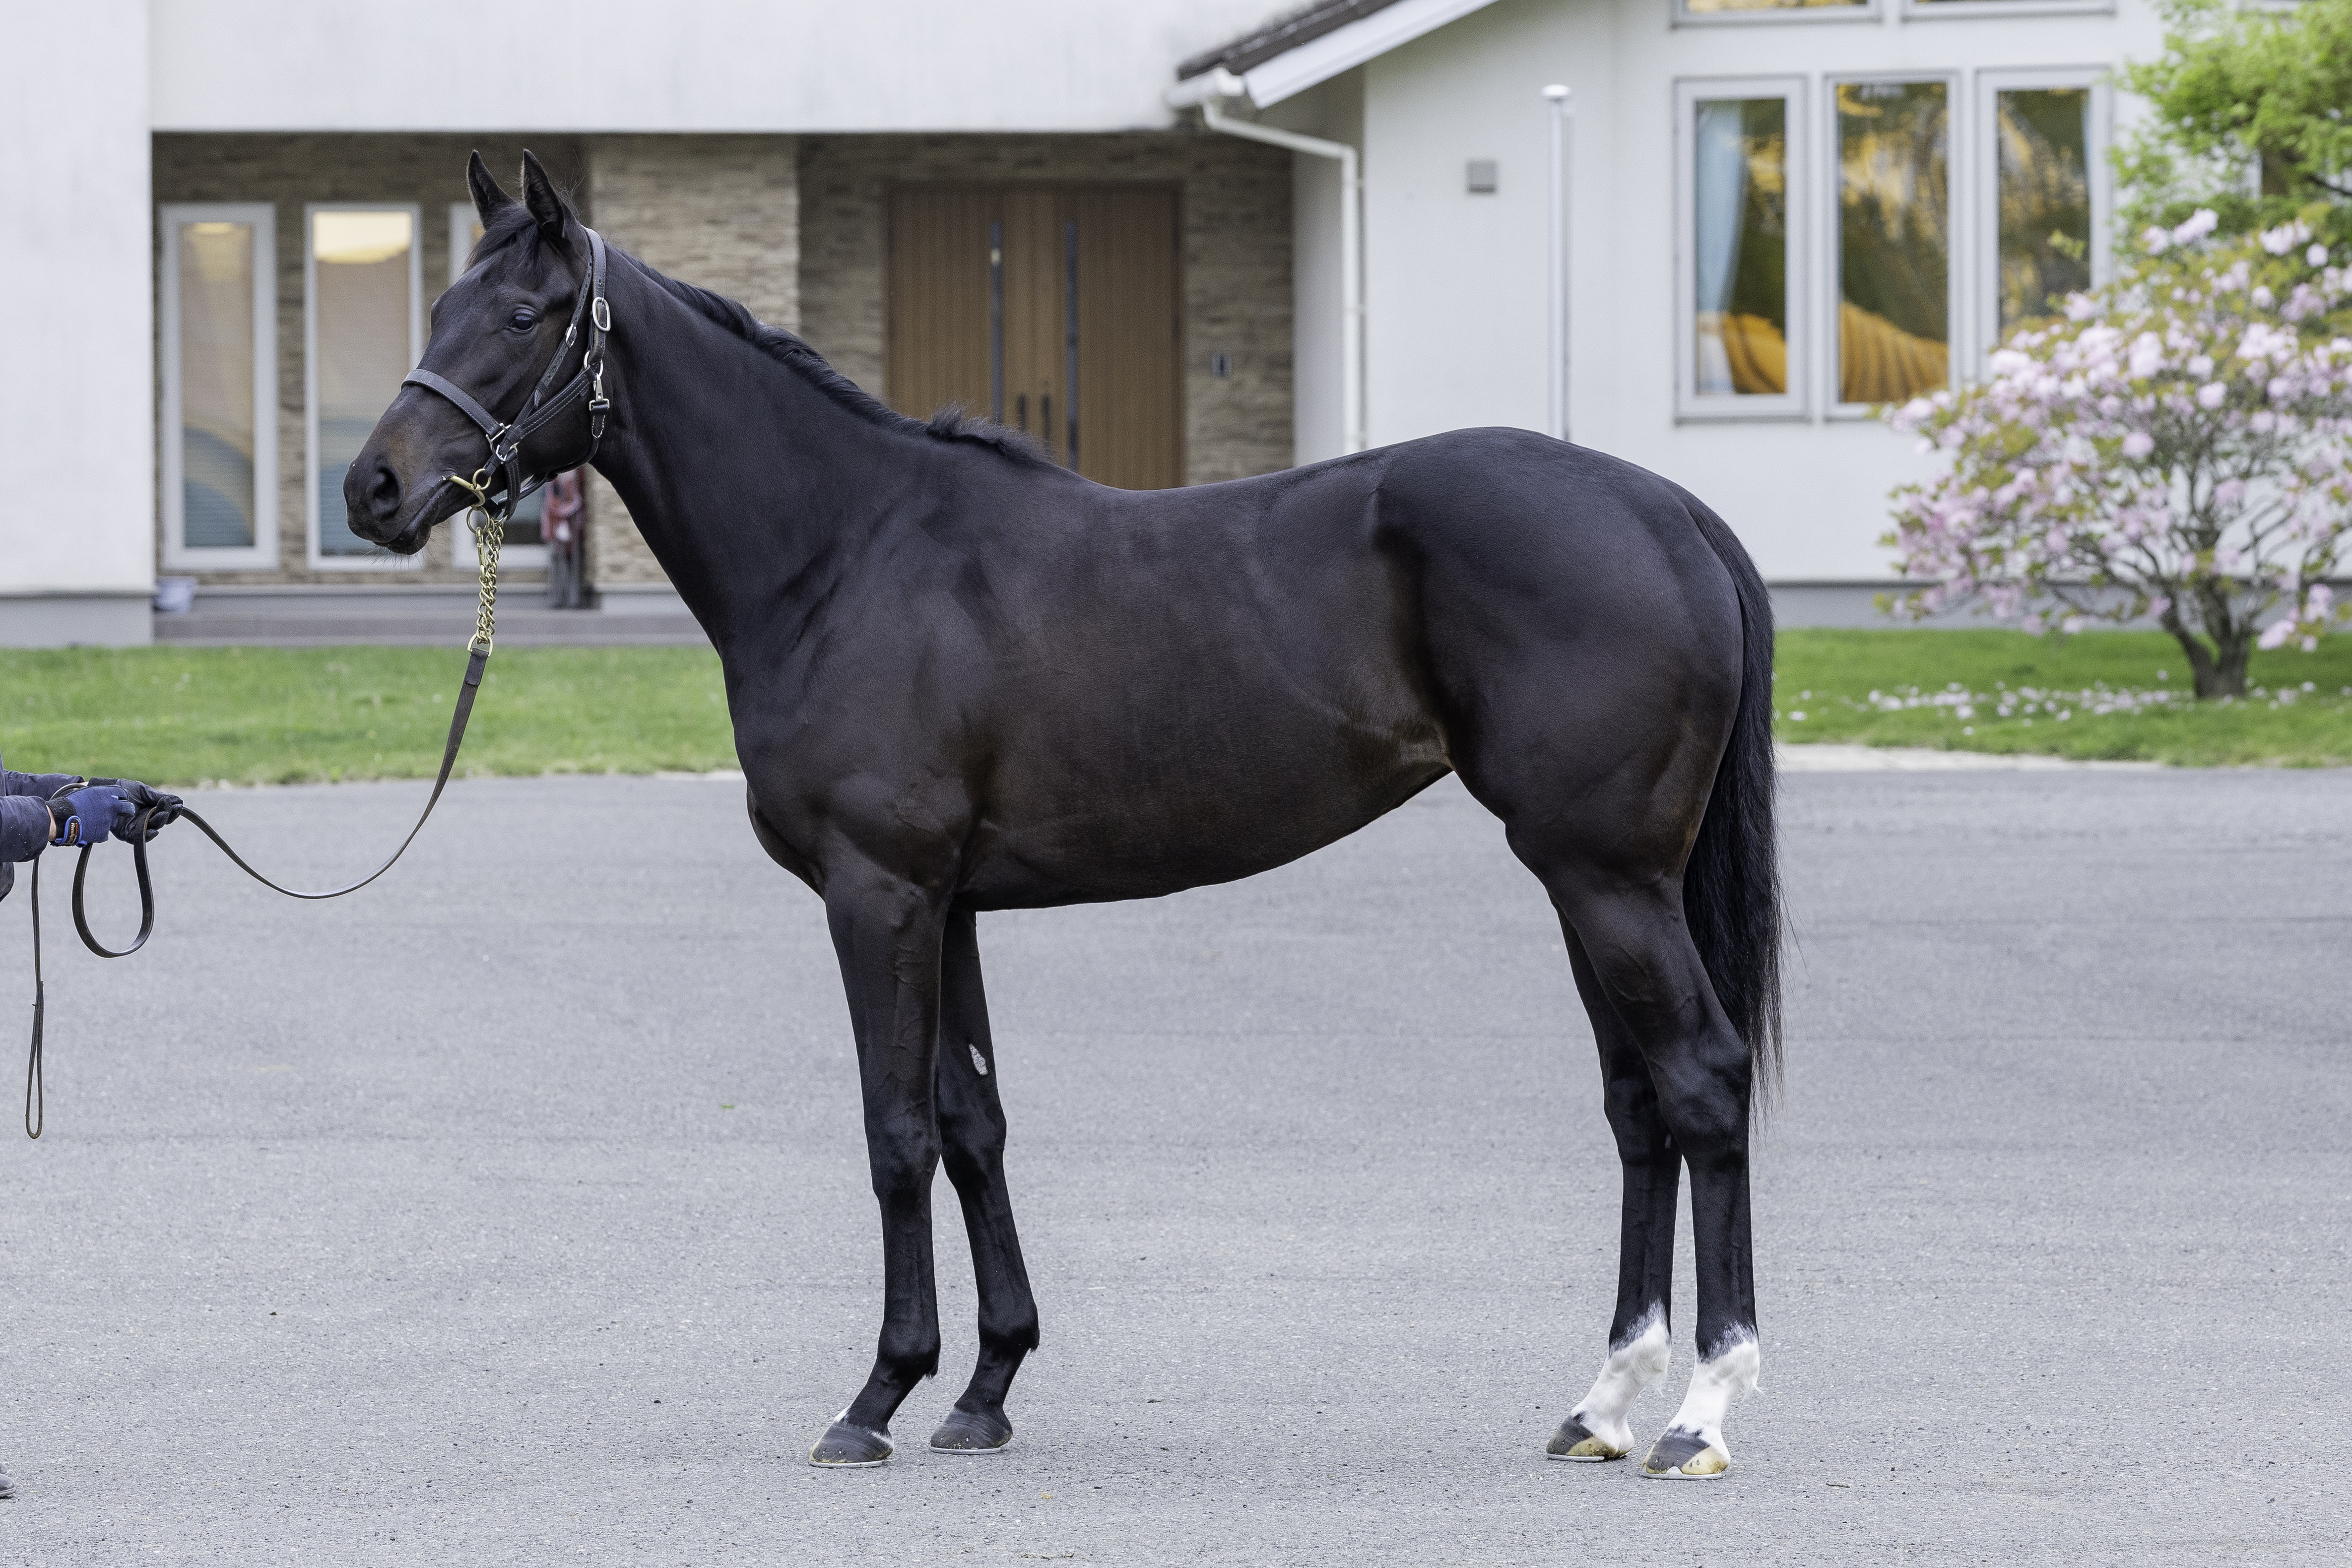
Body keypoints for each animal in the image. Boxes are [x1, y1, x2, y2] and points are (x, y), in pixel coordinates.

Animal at [346, 151, 1783, 1480]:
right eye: (440, 305)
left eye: (521, 315)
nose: (373, 488)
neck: (845, 552)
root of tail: (1673, 510)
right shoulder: (950, 904)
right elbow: (972, 1126)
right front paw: (984, 1389)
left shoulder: (879, 895)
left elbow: (895, 1134)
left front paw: (877, 1396)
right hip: (1592, 883)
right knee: (1638, 1104)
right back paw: (1603, 1405)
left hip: (1607, 878)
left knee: (1701, 1085)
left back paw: (1700, 1415)